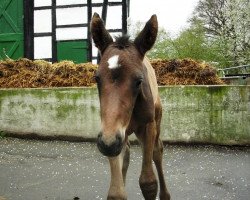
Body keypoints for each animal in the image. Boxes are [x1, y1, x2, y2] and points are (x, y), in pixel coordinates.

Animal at [91, 12, 171, 200]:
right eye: (97, 78)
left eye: (139, 80)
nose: (107, 144)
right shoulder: (111, 132)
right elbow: (116, 193)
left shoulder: (147, 126)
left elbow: (148, 183)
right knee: (127, 152)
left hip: (156, 120)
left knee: (157, 150)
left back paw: (165, 195)